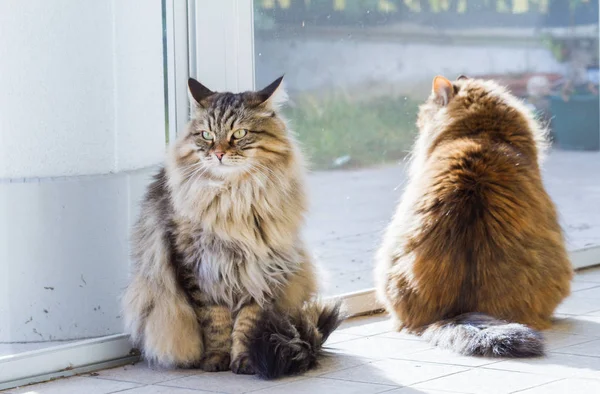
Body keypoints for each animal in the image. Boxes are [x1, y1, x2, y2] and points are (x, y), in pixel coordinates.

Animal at [122, 76, 344, 378]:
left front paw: (245, 360)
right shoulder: (198, 268)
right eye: (206, 135)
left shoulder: (264, 268)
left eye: (239, 133)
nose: (218, 153)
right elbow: (215, 323)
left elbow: (248, 323)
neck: (235, 198)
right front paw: (216, 360)